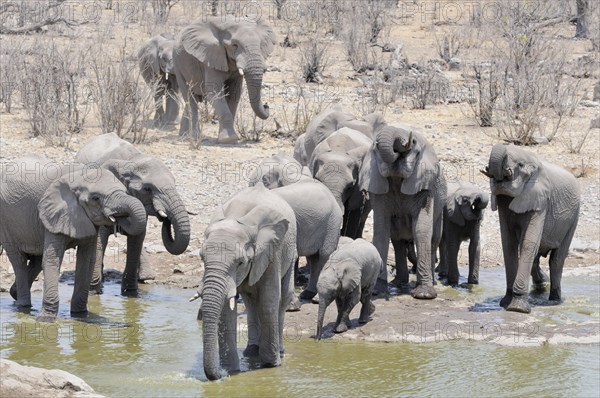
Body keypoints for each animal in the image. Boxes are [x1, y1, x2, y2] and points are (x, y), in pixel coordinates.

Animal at [0, 154, 146, 322]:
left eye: (125, 191)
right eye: (96, 198)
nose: (119, 218)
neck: (79, 177)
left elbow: (87, 260)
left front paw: (81, 315)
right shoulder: (53, 213)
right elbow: (52, 259)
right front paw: (46, 321)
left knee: (36, 260)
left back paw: (15, 295)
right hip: (6, 223)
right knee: (18, 260)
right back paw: (23, 306)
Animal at [75, 133, 191, 292]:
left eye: (175, 184)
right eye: (147, 189)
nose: (165, 219)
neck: (132, 161)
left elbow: (137, 239)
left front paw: (130, 292)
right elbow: (100, 238)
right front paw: (93, 291)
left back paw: (147, 277)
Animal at [173, 17, 276, 145]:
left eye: (261, 44)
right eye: (235, 45)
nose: (266, 105)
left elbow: (234, 94)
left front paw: (229, 138)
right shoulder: (210, 58)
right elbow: (214, 93)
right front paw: (229, 139)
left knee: (192, 99)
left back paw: (184, 136)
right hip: (177, 64)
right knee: (189, 97)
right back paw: (194, 137)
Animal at [358, 124, 448, 298]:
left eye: (413, 142)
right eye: (375, 146)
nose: (377, 142)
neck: (397, 177)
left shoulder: (423, 185)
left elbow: (421, 229)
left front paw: (424, 295)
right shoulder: (379, 187)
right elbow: (381, 230)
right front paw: (377, 291)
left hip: (440, 208)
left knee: (434, 239)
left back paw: (431, 282)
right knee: (398, 241)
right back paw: (398, 283)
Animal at [480, 144, 580, 314]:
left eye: (520, 165)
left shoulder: (541, 200)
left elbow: (528, 243)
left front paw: (517, 309)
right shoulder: (503, 200)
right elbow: (508, 244)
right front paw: (505, 303)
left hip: (573, 218)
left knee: (556, 259)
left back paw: (554, 300)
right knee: (537, 256)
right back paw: (542, 284)